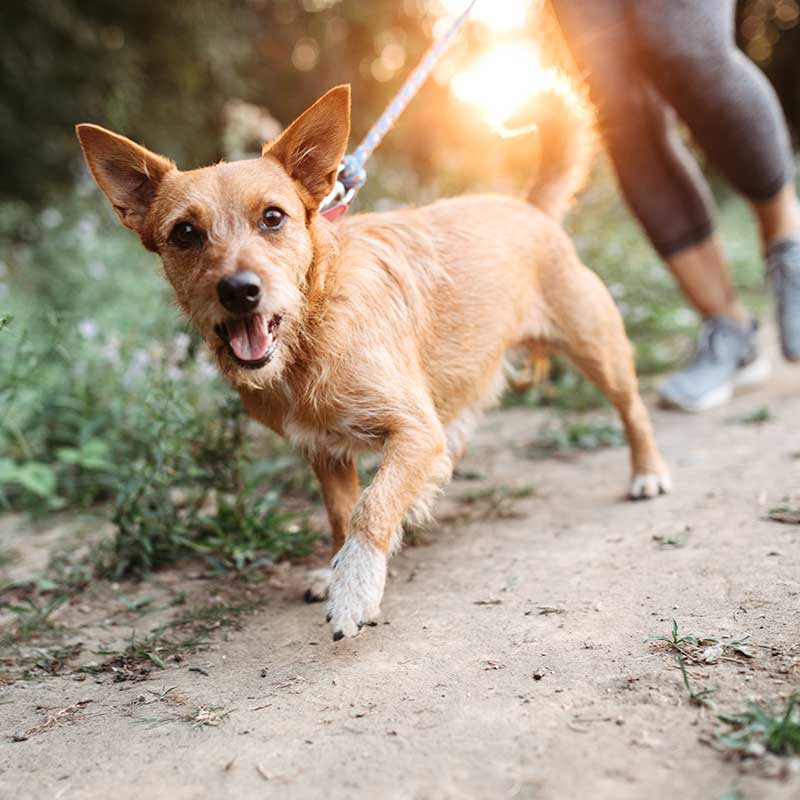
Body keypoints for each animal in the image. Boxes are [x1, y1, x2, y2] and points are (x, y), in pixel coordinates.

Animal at [78, 81, 672, 640]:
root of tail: (528, 207)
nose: (239, 291)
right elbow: (342, 513)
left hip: (597, 346)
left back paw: (648, 473)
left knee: (632, 409)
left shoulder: (414, 431)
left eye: (272, 217)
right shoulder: (325, 451)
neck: (311, 330)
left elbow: (372, 505)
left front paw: (355, 587)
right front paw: (339, 569)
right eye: (185, 232)